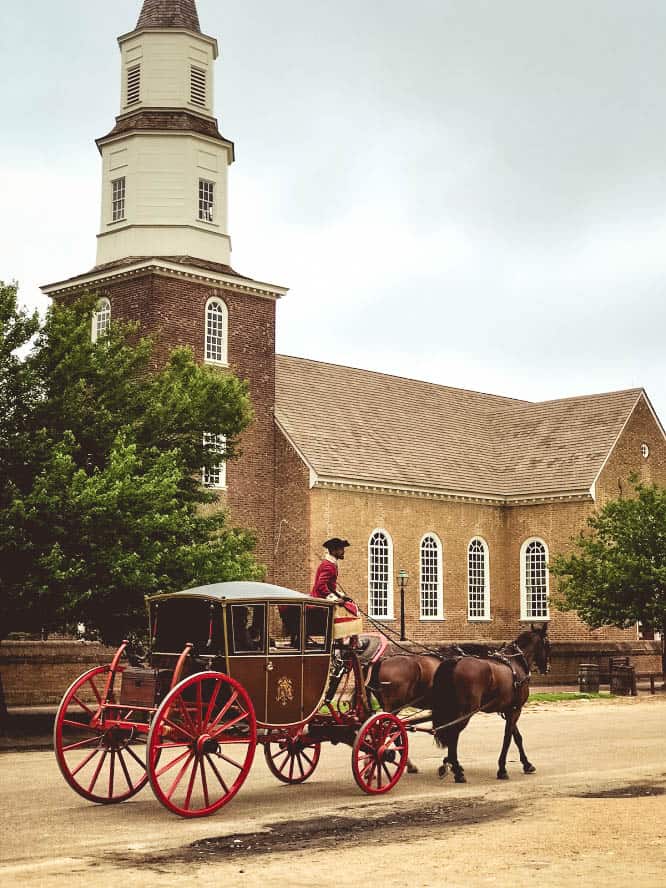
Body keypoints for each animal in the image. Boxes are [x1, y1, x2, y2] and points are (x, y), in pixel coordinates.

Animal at [428, 628, 548, 780]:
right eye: (547, 643)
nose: (547, 668)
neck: (516, 663)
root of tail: (456, 661)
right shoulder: (516, 709)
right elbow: (508, 738)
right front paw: (502, 769)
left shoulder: (509, 710)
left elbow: (517, 737)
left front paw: (527, 764)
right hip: (466, 711)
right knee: (453, 733)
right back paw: (457, 770)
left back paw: (452, 765)